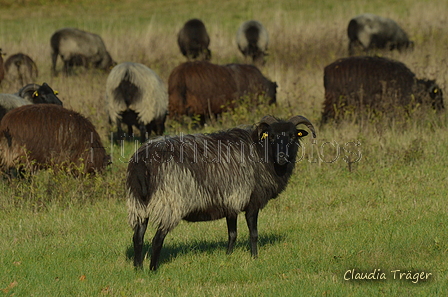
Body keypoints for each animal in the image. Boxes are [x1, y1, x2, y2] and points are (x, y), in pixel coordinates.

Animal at [125, 114, 316, 270]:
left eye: (293, 136)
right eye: (273, 136)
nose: (282, 157)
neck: (262, 153)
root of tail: (142, 162)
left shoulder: (231, 202)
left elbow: (232, 234)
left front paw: (228, 256)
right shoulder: (252, 201)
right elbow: (253, 234)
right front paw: (255, 258)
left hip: (138, 202)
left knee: (138, 236)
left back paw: (138, 268)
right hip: (170, 202)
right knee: (157, 239)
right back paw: (153, 269)